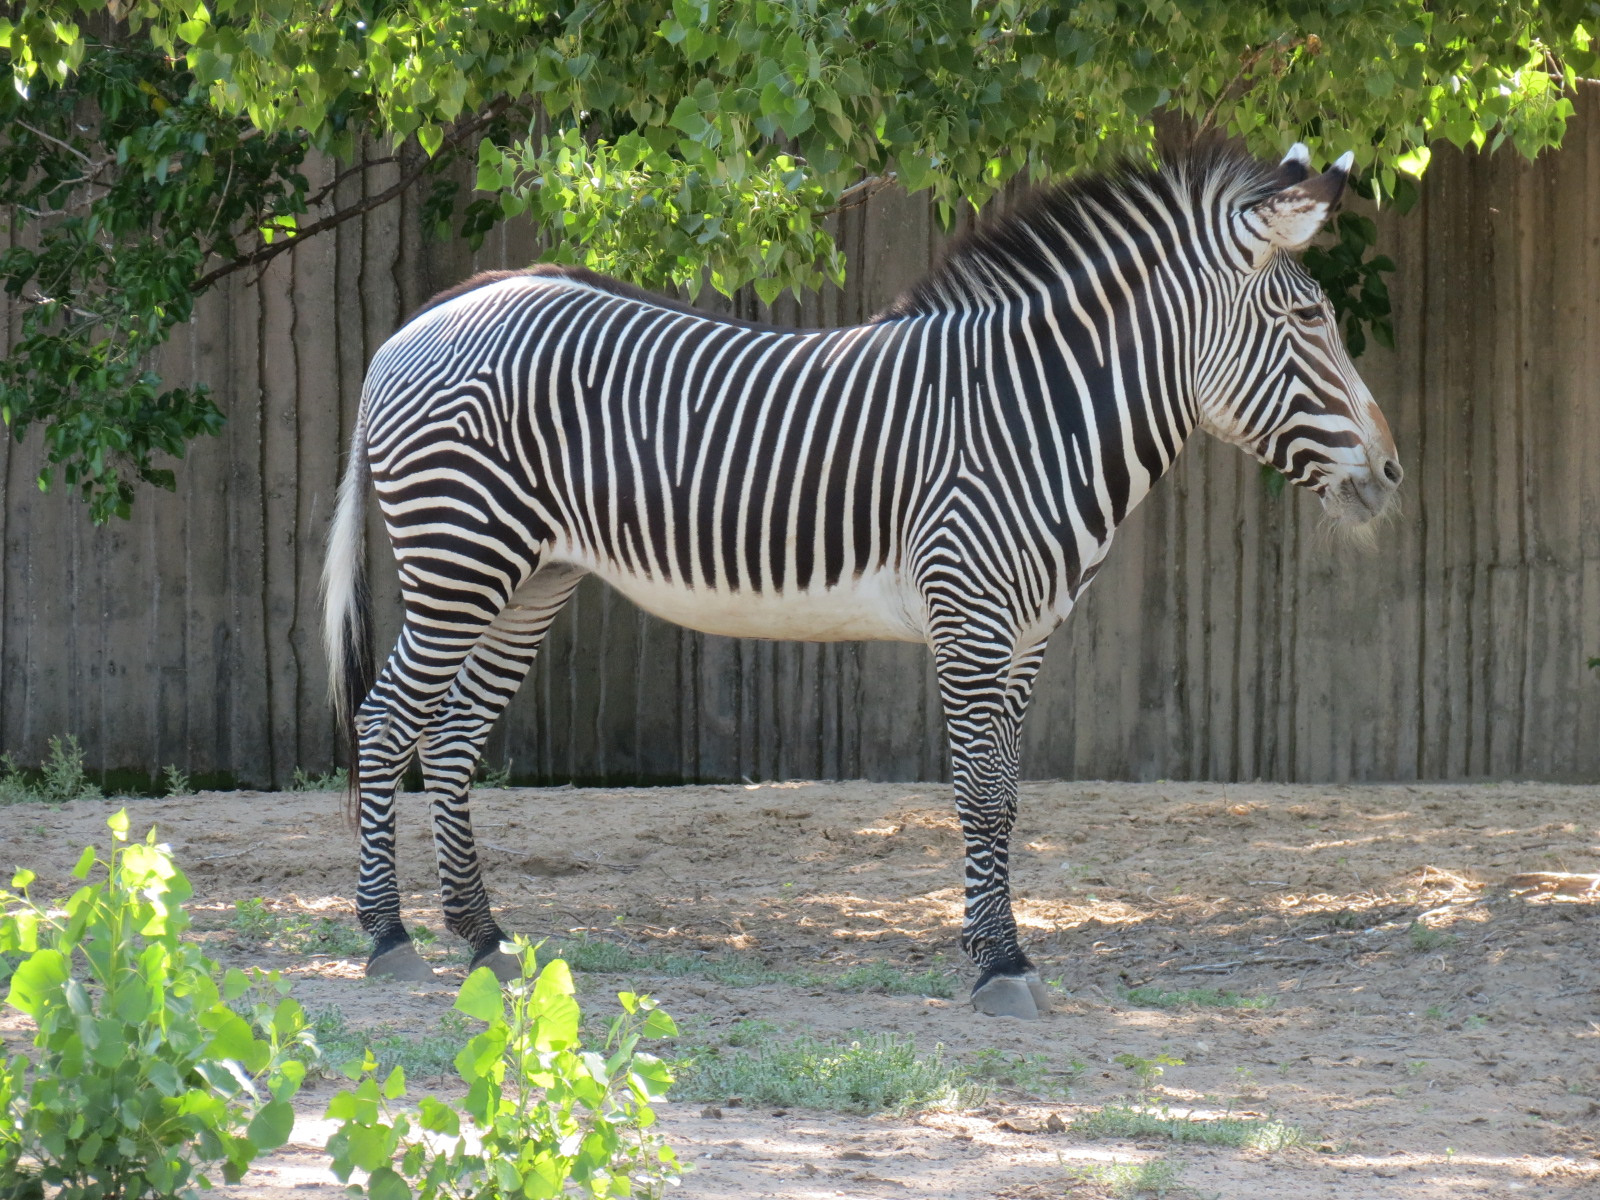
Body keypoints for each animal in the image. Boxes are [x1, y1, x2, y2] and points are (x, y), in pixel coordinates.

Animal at [323, 142, 1401, 1019]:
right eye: (1308, 317)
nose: (1392, 477)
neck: (1034, 416)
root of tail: (422, 320)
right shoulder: (971, 617)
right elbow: (978, 793)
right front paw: (999, 965)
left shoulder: (1029, 636)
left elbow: (1008, 796)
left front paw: (998, 949)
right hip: (460, 557)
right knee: (384, 721)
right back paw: (389, 938)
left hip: (529, 576)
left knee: (452, 737)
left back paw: (484, 937)